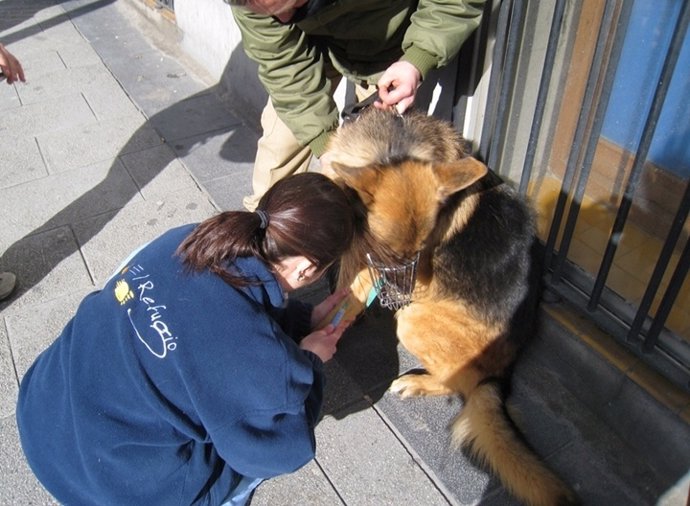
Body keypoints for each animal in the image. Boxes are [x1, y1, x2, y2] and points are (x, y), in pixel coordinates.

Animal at [322, 108, 576, 506]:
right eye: (390, 255)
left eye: (419, 254)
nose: (398, 296)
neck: (393, 146)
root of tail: (501, 373)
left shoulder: (370, 268)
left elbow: (344, 302)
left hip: (413, 321)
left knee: (457, 385)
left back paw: (418, 383)